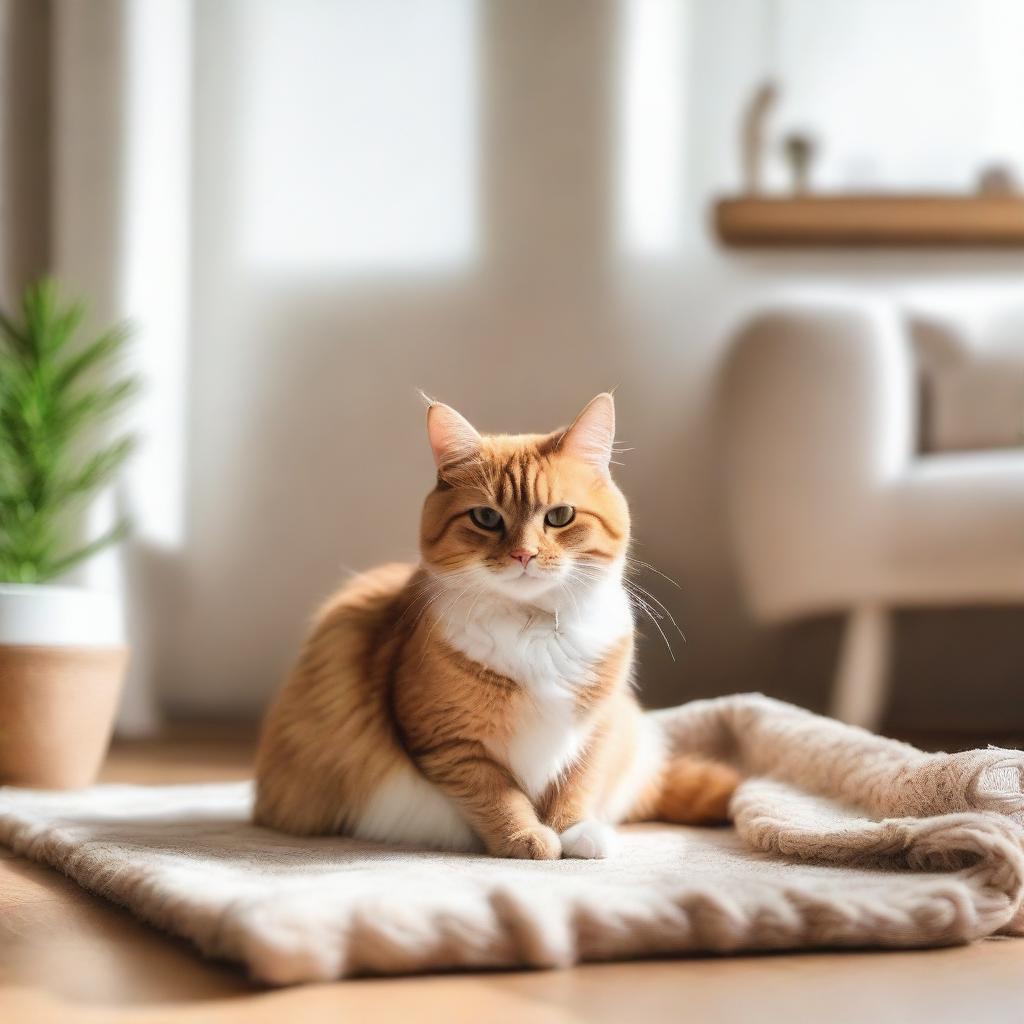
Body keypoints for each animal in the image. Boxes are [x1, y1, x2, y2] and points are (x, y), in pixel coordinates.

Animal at [253, 391, 737, 856]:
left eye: (560, 516)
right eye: (486, 518)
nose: (524, 555)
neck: (535, 629)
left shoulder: (596, 728)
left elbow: (576, 784)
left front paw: (574, 833)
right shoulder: (452, 744)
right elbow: (498, 796)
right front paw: (528, 839)